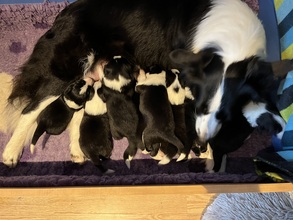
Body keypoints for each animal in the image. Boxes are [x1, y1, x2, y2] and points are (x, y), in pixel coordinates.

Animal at [1, 0, 282, 167]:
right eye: (201, 108)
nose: (201, 142)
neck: (233, 52)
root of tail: (63, 14)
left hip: (89, 78)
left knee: (78, 113)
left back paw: (77, 153)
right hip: (67, 69)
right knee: (30, 109)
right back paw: (11, 153)